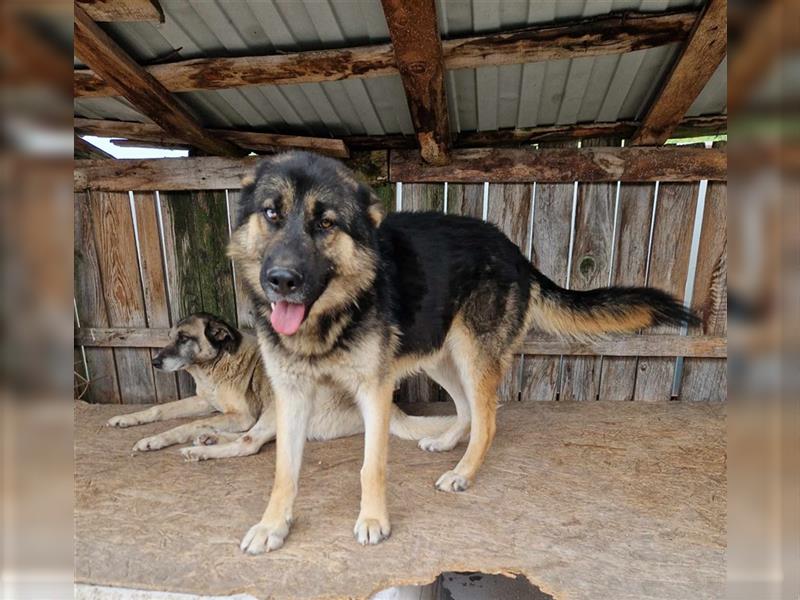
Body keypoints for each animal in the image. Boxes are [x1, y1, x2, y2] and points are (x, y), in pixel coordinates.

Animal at [107, 312, 456, 462]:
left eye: (184, 338)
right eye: (169, 337)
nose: (155, 362)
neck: (215, 365)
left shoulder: (241, 414)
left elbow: (184, 426)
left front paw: (158, 440)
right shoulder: (204, 401)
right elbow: (161, 409)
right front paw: (128, 422)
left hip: (278, 406)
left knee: (248, 443)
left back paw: (200, 450)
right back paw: (209, 439)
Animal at [227, 151, 700, 552]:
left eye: (326, 223)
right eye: (271, 213)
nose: (281, 280)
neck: (331, 314)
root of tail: (514, 250)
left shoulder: (375, 391)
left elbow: (371, 465)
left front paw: (374, 519)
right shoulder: (292, 396)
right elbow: (284, 470)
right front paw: (273, 525)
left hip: (473, 358)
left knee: (488, 419)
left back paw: (463, 473)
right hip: (440, 356)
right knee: (468, 409)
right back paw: (446, 442)